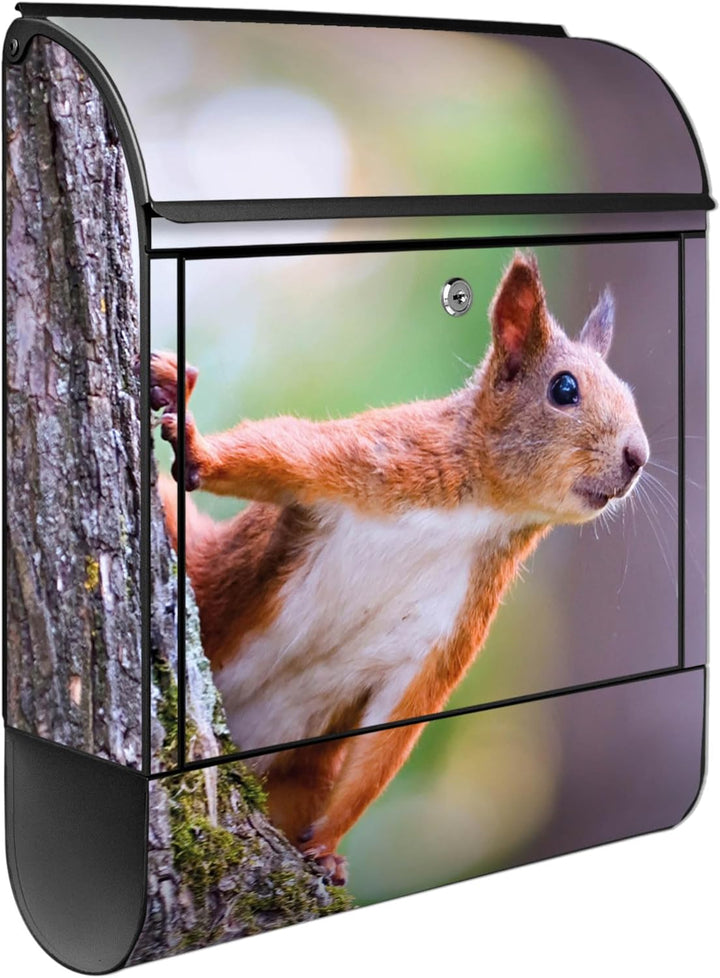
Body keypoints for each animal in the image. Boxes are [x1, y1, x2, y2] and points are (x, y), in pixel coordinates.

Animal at [150, 252, 649, 885]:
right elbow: (281, 452)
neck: (482, 512)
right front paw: (197, 448)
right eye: (565, 389)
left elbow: (395, 728)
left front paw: (327, 847)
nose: (638, 457)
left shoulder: (453, 624)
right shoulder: (378, 458)